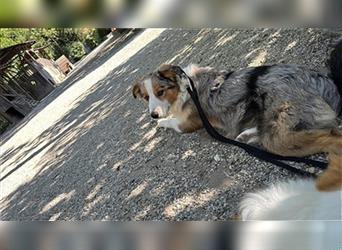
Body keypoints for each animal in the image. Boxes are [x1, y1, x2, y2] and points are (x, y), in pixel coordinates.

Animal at [133, 40, 342, 191]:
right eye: (146, 97)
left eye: (160, 92)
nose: (153, 115)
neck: (186, 88)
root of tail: (324, 81)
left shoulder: (188, 123)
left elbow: (171, 122)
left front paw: (160, 123)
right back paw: (246, 135)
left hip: (279, 136)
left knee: (333, 137)